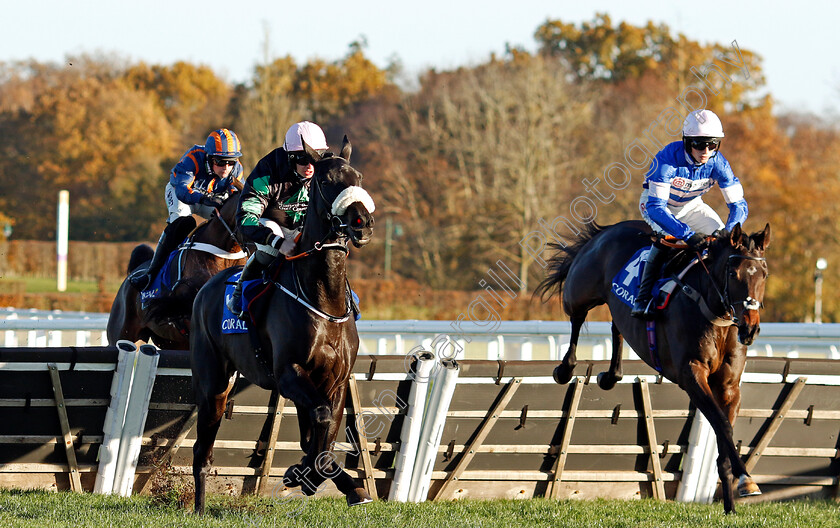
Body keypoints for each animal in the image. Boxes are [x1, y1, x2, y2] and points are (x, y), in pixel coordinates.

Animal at [190, 138, 378, 512]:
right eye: (326, 181)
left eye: (359, 177)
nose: (362, 222)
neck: (324, 300)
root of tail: (205, 289)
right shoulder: (289, 372)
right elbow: (319, 422)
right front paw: (302, 475)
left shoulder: (335, 381)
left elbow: (322, 440)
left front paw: (331, 481)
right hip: (213, 383)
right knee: (202, 449)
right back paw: (199, 508)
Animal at [540, 221, 768, 512]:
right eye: (733, 272)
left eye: (764, 274)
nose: (750, 329)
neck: (712, 312)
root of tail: (609, 228)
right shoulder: (691, 375)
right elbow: (722, 425)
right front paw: (746, 480)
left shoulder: (728, 387)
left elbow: (723, 431)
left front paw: (732, 501)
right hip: (580, 291)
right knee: (577, 317)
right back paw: (565, 368)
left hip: (614, 306)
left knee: (617, 325)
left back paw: (611, 375)